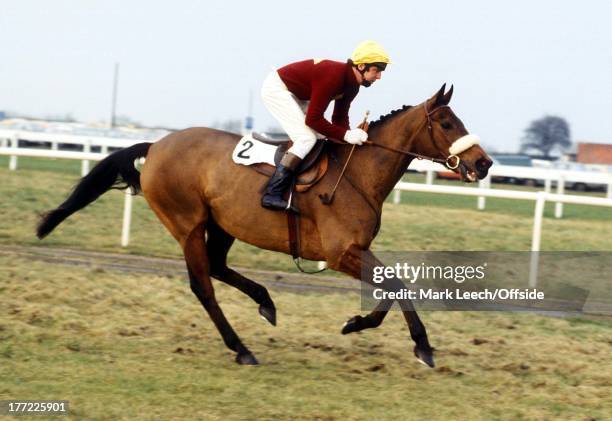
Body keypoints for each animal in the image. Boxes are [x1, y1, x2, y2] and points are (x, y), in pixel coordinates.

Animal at [35, 83, 492, 366]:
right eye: (447, 123)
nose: (484, 163)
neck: (357, 174)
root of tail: (158, 144)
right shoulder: (340, 253)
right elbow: (395, 284)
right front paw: (412, 343)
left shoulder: (355, 250)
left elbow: (395, 284)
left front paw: (376, 329)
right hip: (187, 224)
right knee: (203, 284)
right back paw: (241, 348)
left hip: (222, 224)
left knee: (217, 267)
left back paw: (265, 302)